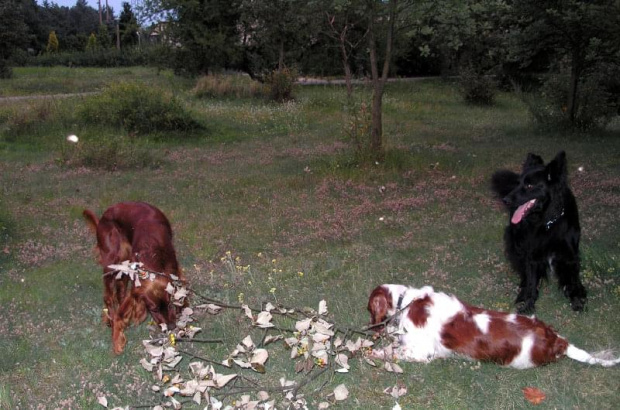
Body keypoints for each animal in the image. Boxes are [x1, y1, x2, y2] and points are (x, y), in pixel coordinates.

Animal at [368, 286, 620, 368]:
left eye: (370, 309)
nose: (371, 328)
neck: (407, 301)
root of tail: (557, 340)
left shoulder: (420, 352)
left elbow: (390, 352)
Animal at [494, 152, 588, 312]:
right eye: (518, 183)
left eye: (529, 185)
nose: (505, 200)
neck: (547, 221)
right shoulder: (532, 254)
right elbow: (532, 282)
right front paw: (528, 306)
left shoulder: (569, 254)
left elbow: (572, 280)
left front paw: (576, 300)